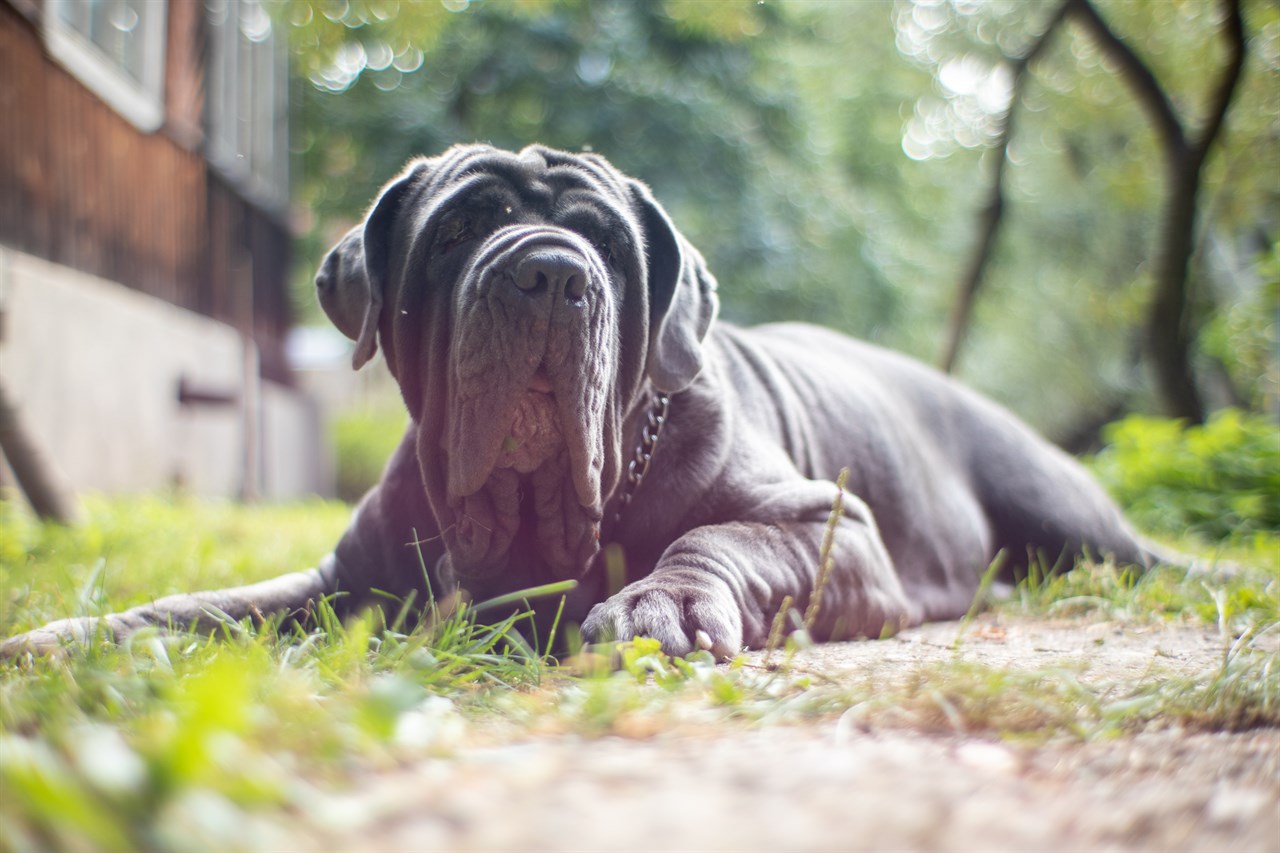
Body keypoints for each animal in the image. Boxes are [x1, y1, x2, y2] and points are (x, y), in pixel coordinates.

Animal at [0, 144, 1162, 655]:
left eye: (604, 239)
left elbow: (719, 538)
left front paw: (662, 601)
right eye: (461, 228)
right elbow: (206, 607)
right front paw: (67, 637)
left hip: (1063, 510)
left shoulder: (828, 524)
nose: (551, 273)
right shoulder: (342, 581)